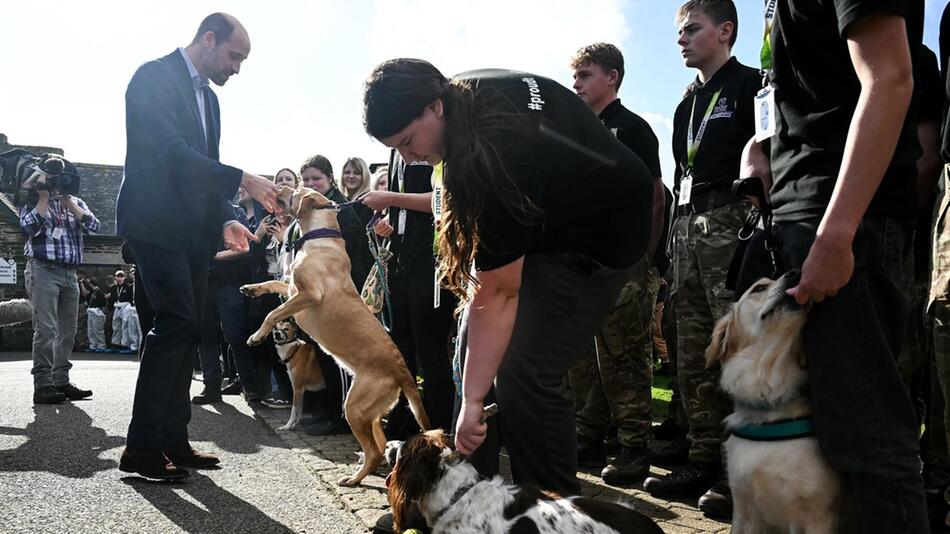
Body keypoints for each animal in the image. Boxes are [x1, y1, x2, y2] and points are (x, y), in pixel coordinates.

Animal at [242, 188, 432, 490]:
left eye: (295, 191)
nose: (278, 188)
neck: (319, 238)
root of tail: (404, 372)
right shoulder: (293, 289)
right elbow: (272, 284)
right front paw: (251, 288)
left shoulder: (308, 295)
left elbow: (272, 313)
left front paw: (256, 335)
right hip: (370, 412)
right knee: (379, 445)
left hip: (353, 407)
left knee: (374, 450)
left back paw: (354, 478)